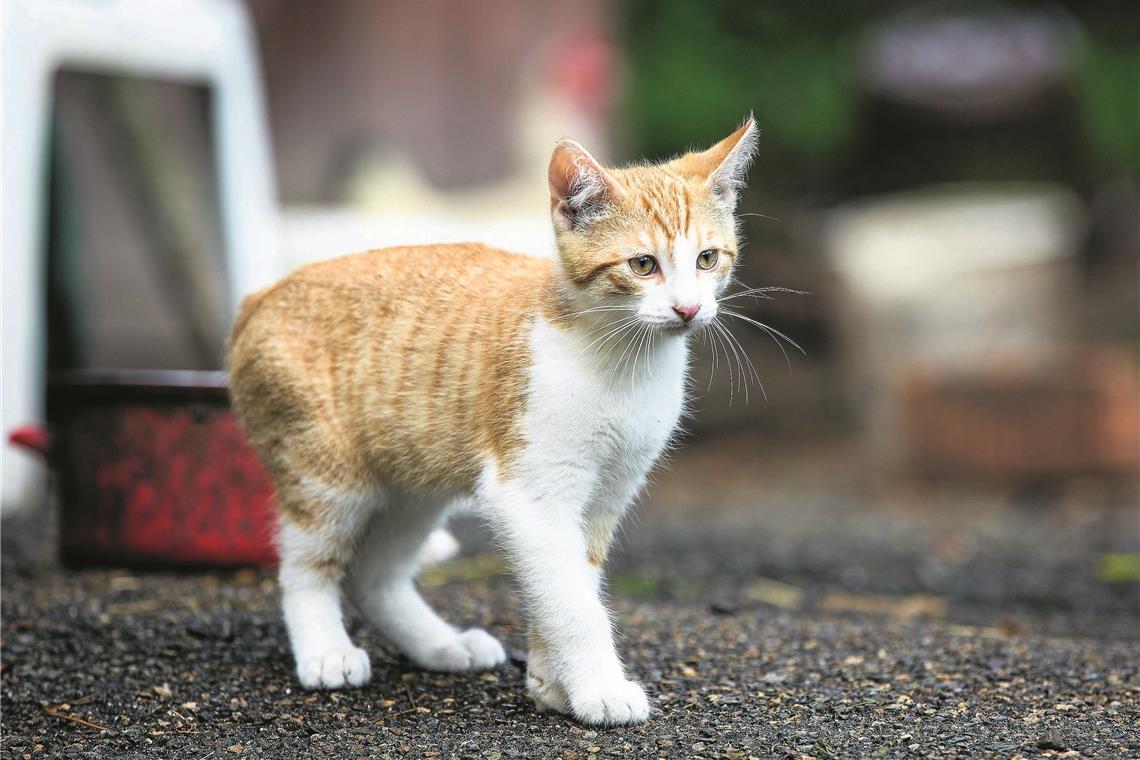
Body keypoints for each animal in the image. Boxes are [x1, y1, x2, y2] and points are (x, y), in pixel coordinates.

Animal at [225, 117, 756, 724]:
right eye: (643, 265)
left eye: (708, 259)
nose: (688, 309)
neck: (623, 365)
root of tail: (262, 295)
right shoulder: (531, 494)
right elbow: (574, 603)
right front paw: (599, 687)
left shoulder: (608, 492)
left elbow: (572, 582)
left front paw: (552, 682)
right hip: (328, 476)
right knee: (305, 565)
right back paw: (326, 652)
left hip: (414, 484)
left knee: (373, 575)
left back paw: (439, 645)